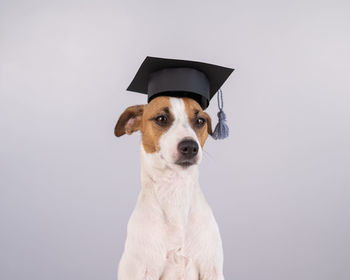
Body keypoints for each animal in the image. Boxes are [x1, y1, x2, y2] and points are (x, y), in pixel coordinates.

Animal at [115, 95, 224, 278]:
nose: (190, 147)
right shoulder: (145, 271)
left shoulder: (211, 270)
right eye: (161, 119)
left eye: (200, 121)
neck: (175, 192)